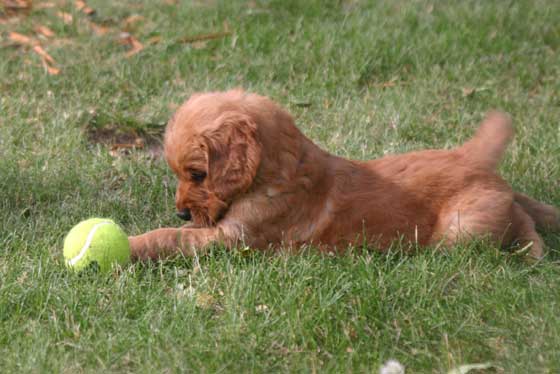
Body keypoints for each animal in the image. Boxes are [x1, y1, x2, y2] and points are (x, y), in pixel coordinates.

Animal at [128, 89, 560, 262]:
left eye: (198, 174)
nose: (182, 212)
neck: (278, 174)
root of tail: (470, 157)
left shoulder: (236, 239)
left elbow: (169, 237)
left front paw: (133, 245)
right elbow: (178, 233)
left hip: (462, 227)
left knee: (512, 221)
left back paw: (532, 254)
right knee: (521, 207)